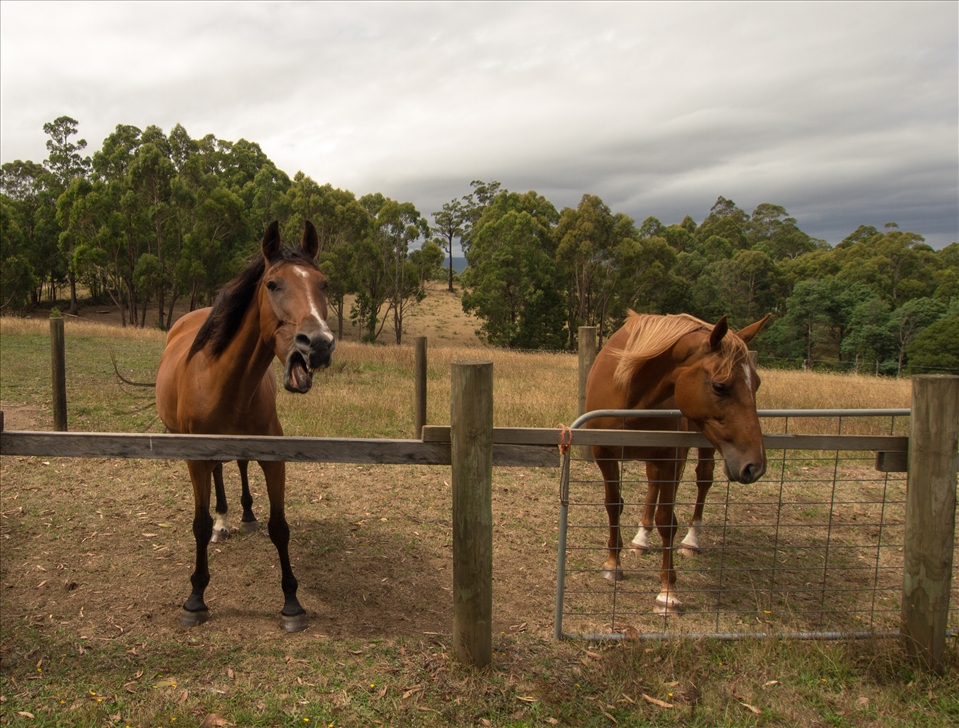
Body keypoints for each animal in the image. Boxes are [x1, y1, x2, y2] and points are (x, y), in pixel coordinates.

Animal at [156, 220, 334, 631]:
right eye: (273, 284)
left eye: (324, 284)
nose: (318, 344)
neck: (222, 382)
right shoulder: (195, 460)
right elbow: (199, 524)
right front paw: (195, 598)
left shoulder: (274, 459)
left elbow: (280, 526)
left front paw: (292, 603)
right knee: (219, 474)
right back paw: (223, 523)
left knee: (235, 466)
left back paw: (245, 516)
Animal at [584, 311, 770, 614]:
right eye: (720, 385)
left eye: (757, 383)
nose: (755, 466)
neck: (631, 392)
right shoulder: (604, 453)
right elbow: (613, 505)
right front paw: (613, 564)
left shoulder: (671, 455)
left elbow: (667, 521)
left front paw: (667, 592)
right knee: (653, 482)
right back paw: (641, 539)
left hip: (704, 444)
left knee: (702, 479)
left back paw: (691, 541)